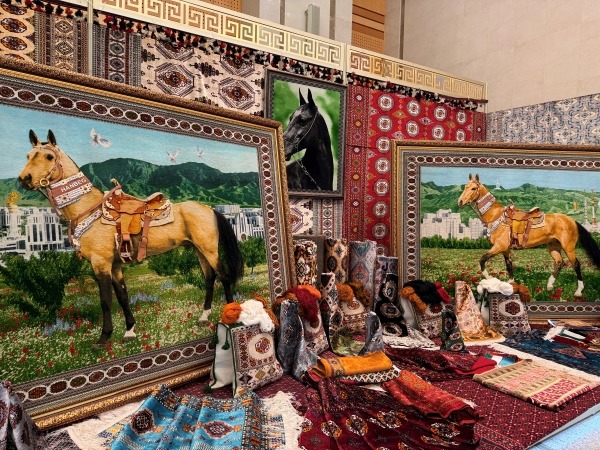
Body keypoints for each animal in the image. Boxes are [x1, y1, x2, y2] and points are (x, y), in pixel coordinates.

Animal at [18, 130, 243, 346]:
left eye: (48, 156)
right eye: (28, 155)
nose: (24, 179)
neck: (90, 211)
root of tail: (210, 209)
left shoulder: (100, 263)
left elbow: (105, 300)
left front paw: (103, 337)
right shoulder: (115, 265)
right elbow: (123, 296)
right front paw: (129, 331)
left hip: (209, 249)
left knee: (223, 275)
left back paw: (229, 315)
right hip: (198, 249)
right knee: (209, 277)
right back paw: (204, 316)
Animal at [457, 173, 600, 297]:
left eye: (473, 188)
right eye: (465, 187)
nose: (460, 202)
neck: (496, 216)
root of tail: (572, 221)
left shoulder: (499, 246)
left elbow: (482, 259)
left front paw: (489, 278)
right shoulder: (505, 249)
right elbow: (509, 266)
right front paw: (510, 285)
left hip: (568, 247)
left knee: (576, 264)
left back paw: (578, 291)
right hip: (553, 246)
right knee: (559, 263)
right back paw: (549, 286)